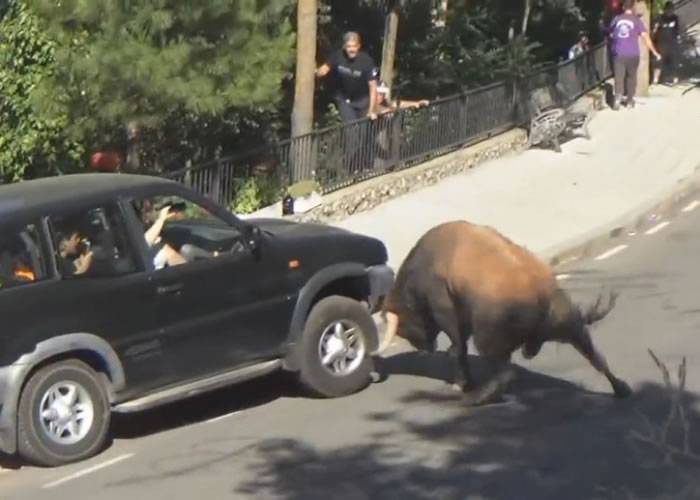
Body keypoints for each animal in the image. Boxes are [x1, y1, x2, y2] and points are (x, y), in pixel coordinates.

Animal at [374, 221, 632, 404]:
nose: (425, 348)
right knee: (596, 357)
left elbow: (457, 348)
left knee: (505, 372)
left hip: (488, 339)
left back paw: (476, 397)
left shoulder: (445, 308)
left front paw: (461, 383)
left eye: (405, 325)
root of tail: (543, 295)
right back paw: (621, 388)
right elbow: (457, 349)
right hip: (572, 327)